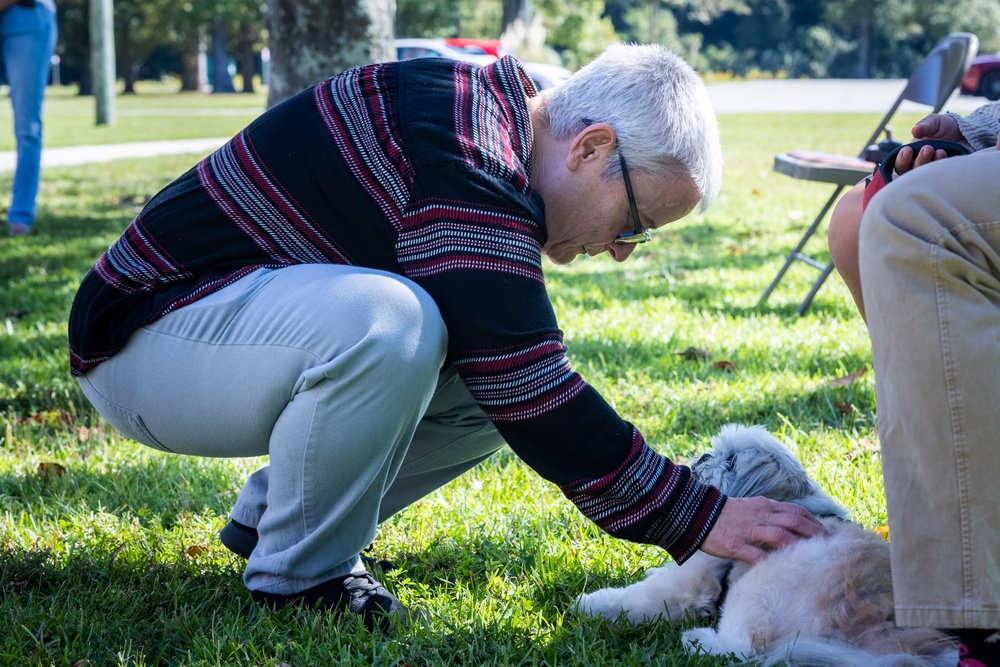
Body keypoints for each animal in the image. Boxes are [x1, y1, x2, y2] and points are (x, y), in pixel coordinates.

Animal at [576, 428, 956, 667]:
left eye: (730, 461)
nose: (703, 457)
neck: (787, 500)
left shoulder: (696, 578)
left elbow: (640, 596)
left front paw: (590, 604)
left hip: (760, 586)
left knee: (743, 650)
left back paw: (697, 640)